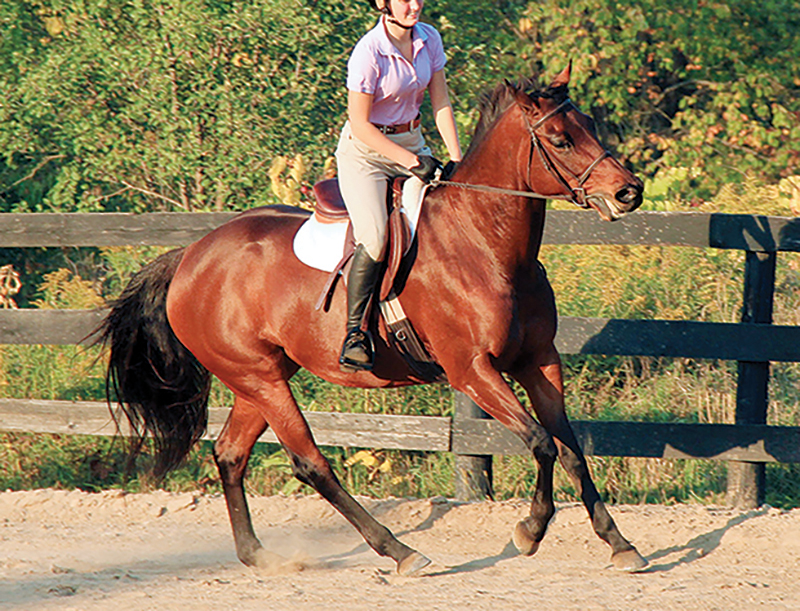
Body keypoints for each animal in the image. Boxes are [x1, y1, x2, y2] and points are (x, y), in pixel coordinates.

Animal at [96, 65, 648, 575]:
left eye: (590, 125)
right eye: (560, 139)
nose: (629, 192)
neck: (485, 244)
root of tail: (190, 256)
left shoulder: (539, 361)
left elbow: (570, 449)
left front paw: (621, 544)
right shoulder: (472, 371)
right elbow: (541, 443)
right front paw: (529, 531)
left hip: (261, 378)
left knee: (231, 453)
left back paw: (257, 555)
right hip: (260, 379)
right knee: (311, 464)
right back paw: (399, 551)